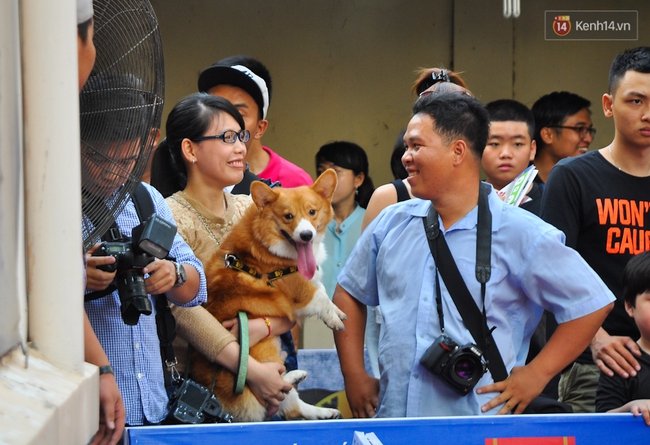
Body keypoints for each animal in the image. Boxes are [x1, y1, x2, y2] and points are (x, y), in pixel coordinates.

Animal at [190, 168, 346, 422]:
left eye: (312, 212)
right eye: (288, 216)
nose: (306, 235)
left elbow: (323, 291)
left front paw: (335, 312)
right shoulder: (297, 289)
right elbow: (319, 296)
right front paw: (333, 317)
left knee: (292, 405)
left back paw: (323, 409)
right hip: (259, 355)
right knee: (273, 392)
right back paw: (291, 379)